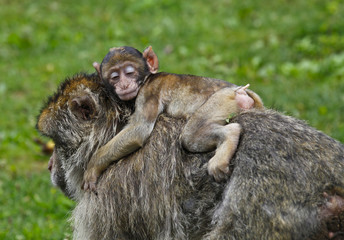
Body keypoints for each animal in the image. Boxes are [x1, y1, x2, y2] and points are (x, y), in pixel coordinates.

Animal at [83, 46, 264, 190]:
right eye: (115, 77)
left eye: (129, 72)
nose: (124, 85)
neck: (147, 78)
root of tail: (242, 91)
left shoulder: (148, 92)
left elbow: (139, 130)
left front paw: (93, 165)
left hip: (222, 100)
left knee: (191, 136)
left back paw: (229, 136)